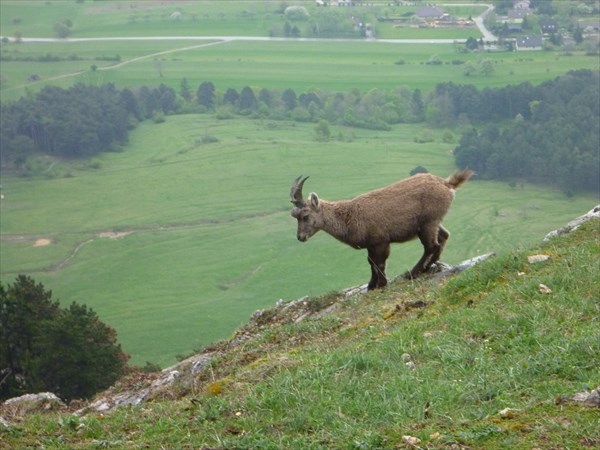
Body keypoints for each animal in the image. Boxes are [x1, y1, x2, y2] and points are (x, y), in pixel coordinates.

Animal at [290, 171, 474, 290]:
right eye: (294, 215)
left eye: (305, 215)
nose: (300, 237)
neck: (348, 217)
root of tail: (446, 184)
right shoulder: (371, 244)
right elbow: (371, 262)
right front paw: (372, 285)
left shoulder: (380, 241)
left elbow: (379, 263)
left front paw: (382, 283)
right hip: (433, 222)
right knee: (443, 237)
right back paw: (428, 266)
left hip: (427, 223)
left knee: (431, 245)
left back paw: (413, 272)